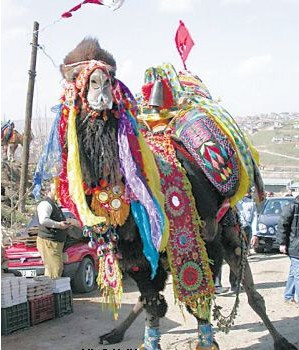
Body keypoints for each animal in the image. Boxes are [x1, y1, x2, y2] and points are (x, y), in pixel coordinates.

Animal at [33, 38, 298, 350]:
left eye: (111, 73)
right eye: (75, 75)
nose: (100, 85)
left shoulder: (199, 239)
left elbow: (198, 299)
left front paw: (206, 342)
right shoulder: (135, 255)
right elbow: (151, 302)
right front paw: (149, 341)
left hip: (230, 227)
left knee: (252, 292)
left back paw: (281, 340)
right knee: (148, 299)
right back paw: (114, 332)